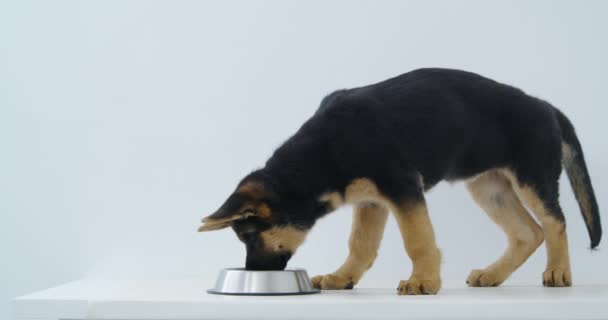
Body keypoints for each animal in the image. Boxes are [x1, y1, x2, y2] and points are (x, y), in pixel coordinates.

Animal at [198, 68, 600, 296]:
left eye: (249, 237)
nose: (253, 273)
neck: (320, 155)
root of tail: (546, 106)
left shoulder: (402, 187)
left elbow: (417, 240)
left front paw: (423, 281)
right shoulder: (371, 200)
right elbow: (361, 244)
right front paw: (343, 278)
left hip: (532, 177)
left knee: (554, 222)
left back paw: (559, 271)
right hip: (489, 188)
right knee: (528, 232)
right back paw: (493, 274)